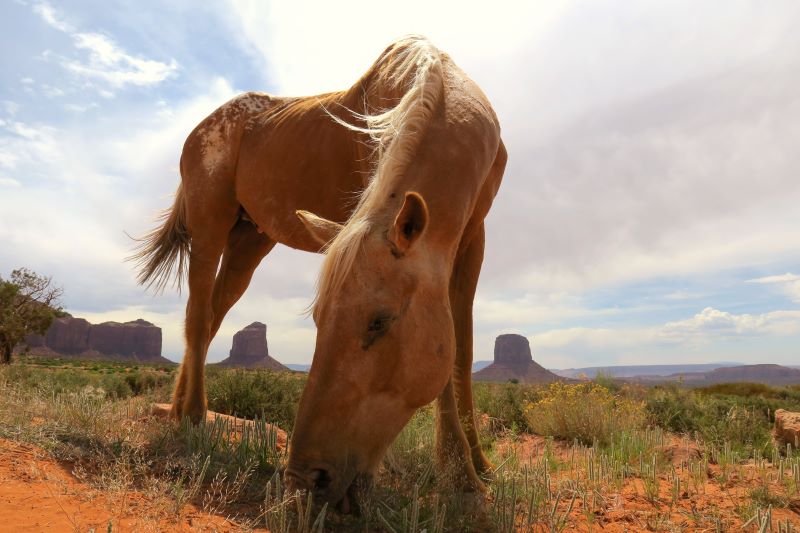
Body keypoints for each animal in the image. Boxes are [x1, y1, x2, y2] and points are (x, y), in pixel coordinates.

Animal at [131, 35, 506, 504]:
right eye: (317, 319)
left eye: (379, 321)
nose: (306, 478)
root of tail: (196, 132)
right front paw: (460, 477)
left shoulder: (474, 237)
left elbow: (463, 349)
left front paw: (477, 467)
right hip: (209, 225)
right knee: (198, 316)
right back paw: (193, 418)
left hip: (250, 240)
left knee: (212, 315)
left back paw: (178, 409)